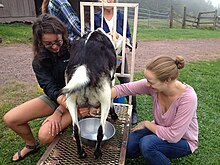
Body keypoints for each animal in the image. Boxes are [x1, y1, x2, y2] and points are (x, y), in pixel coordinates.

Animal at [62, 28, 118, 159]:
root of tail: (84, 65)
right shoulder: (111, 84)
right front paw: (114, 115)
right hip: (104, 99)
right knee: (100, 131)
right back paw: (97, 153)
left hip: (70, 101)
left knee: (76, 129)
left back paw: (81, 153)